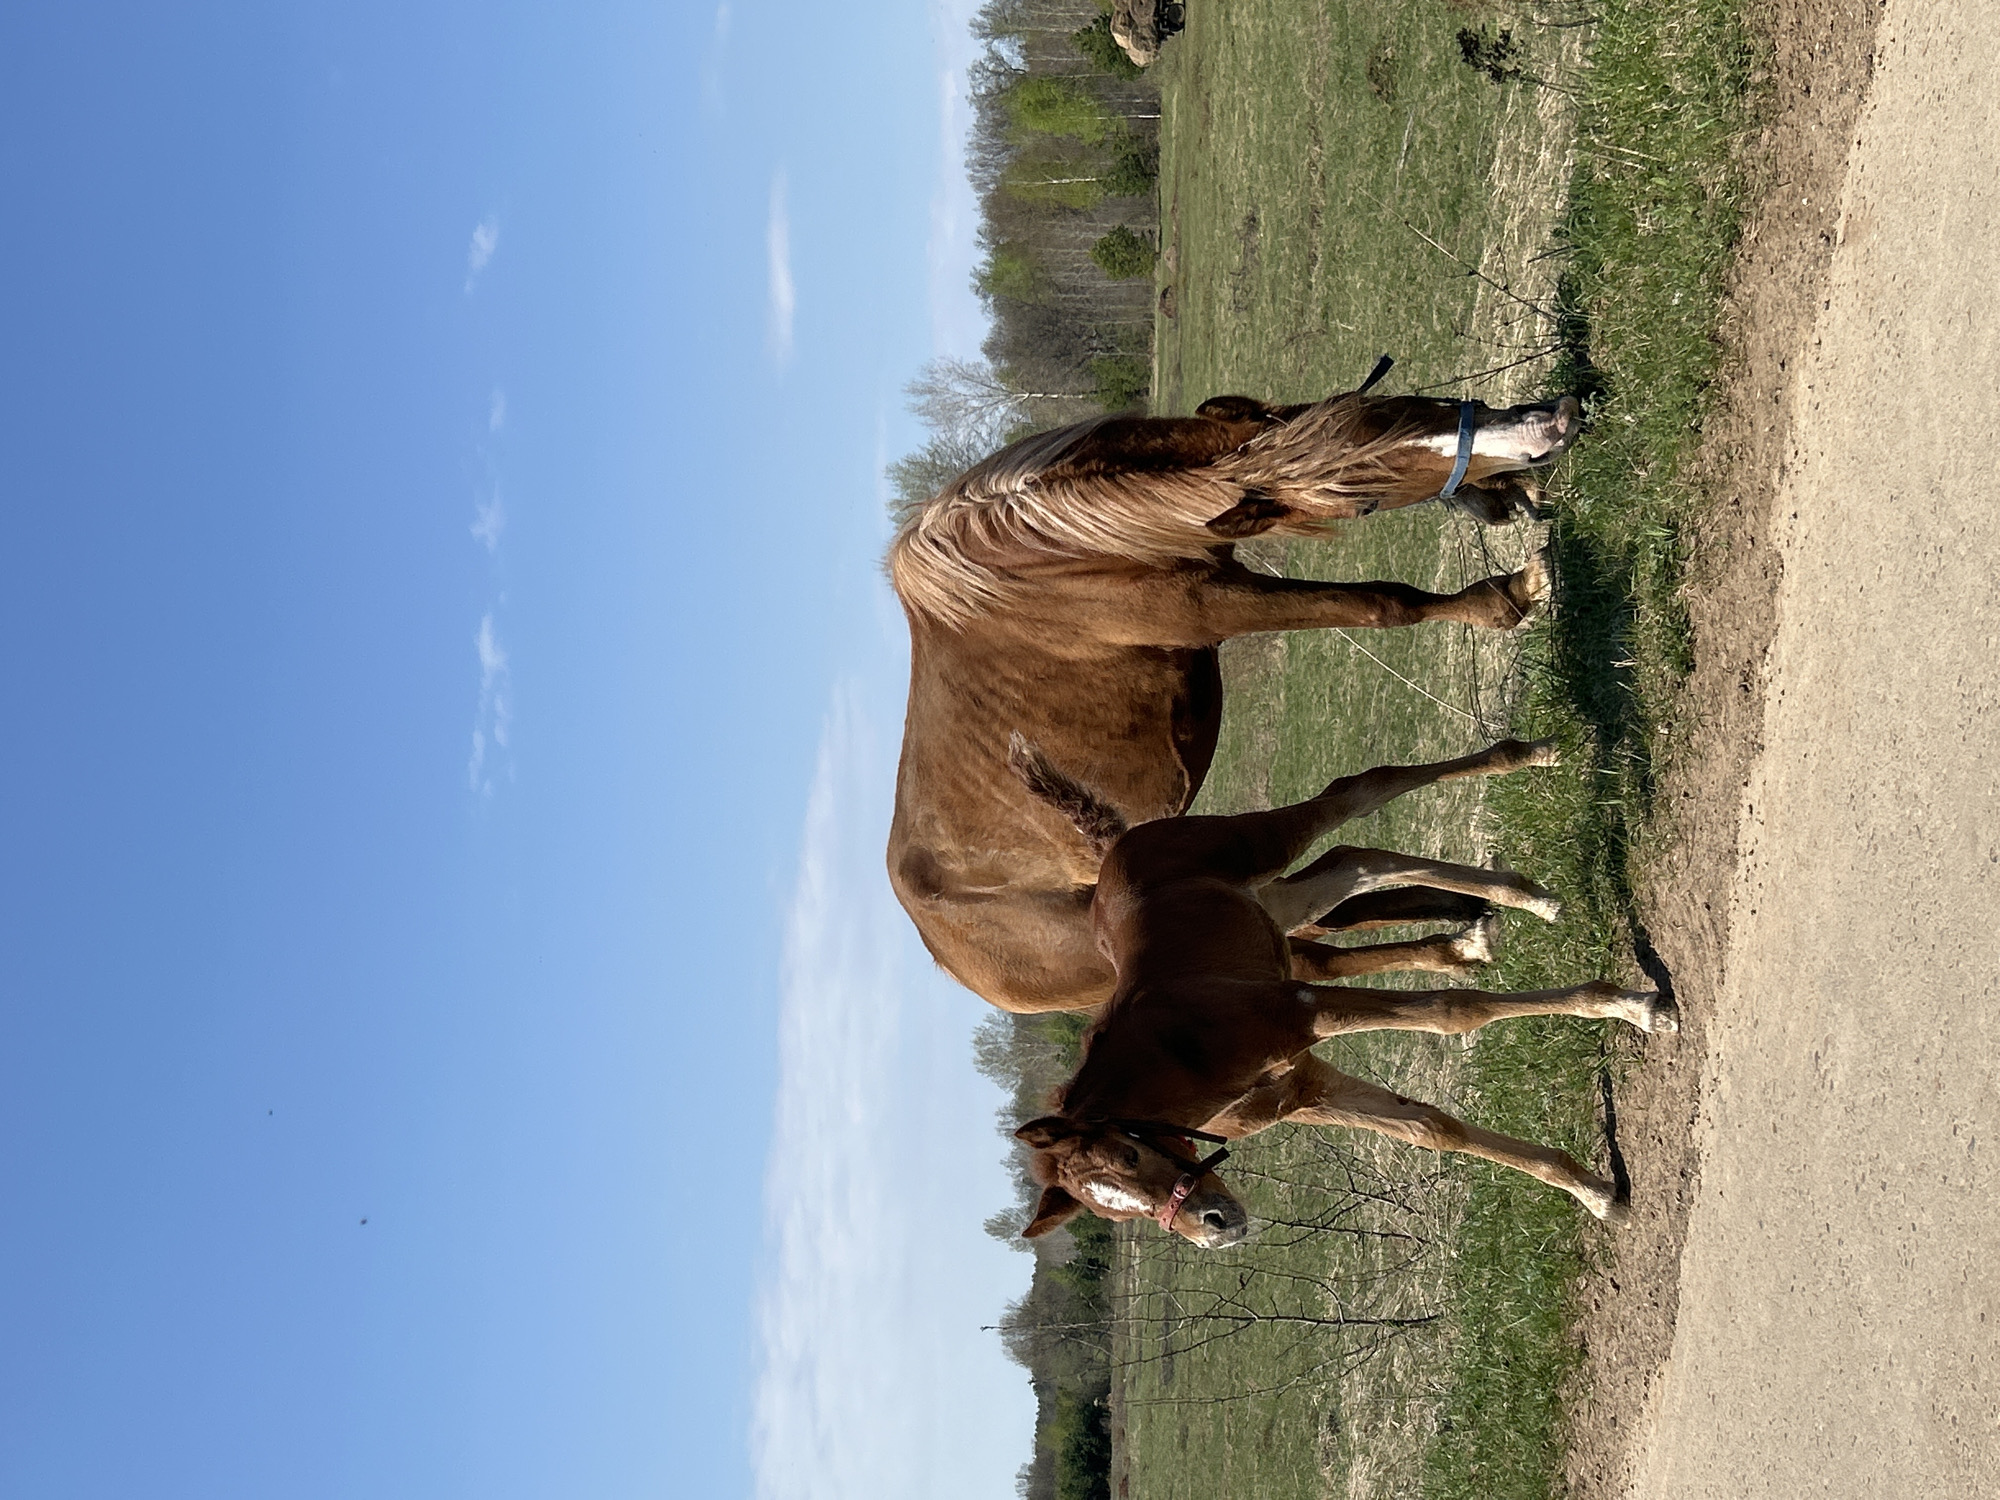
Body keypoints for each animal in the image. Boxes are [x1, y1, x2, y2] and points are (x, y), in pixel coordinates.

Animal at [887, 387, 1582, 1014]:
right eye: (1364, 498)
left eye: (1399, 405)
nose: (1552, 424)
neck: (1056, 551)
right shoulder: (1217, 606)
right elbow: (1385, 603)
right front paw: (1513, 593)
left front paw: (1505, 496)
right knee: (1321, 953)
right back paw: (1460, 939)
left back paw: (1462, 915)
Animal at [1006, 737, 1679, 1246]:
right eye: (1111, 1213)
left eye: (1129, 1157)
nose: (1215, 1227)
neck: (1180, 1056)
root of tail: (1119, 847)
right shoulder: (1309, 1090)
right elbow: (1435, 1131)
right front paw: (1596, 1193)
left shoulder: (1302, 1011)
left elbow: (1452, 1011)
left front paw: (1636, 1007)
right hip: (1277, 904)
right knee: (1357, 860)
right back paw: (1518, 900)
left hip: (1261, 847)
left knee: (1359, 791)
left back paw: (1529, 771)